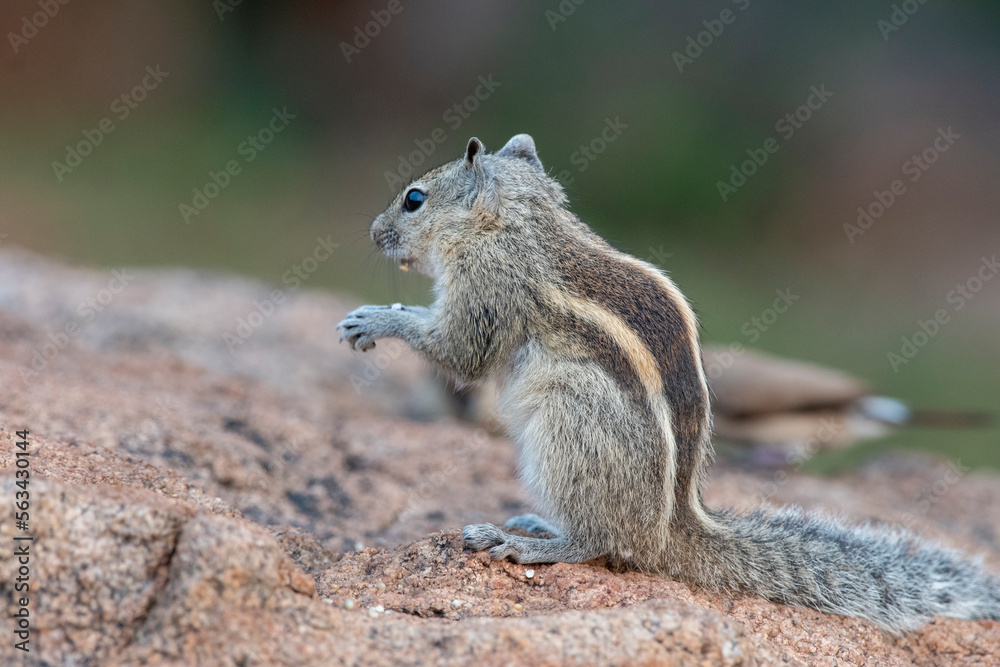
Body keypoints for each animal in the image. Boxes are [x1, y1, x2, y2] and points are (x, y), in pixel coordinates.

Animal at [337, 133, 1000, 633]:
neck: (521, 220)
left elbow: (460, 352)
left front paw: (375, 319)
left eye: (414, 199)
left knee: (602, 542)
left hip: (566, 420)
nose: (370, 233)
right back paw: (540, 524)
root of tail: (672, 528)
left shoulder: (487, 291)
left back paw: (531, 542)